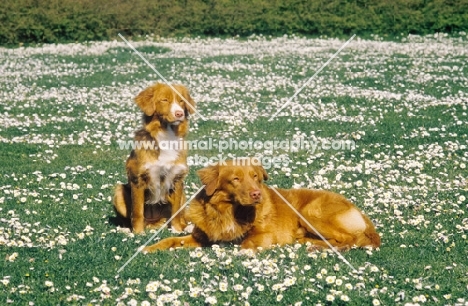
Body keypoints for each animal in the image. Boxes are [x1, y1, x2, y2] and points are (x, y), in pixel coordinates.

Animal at [113, 82, 196, 233]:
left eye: (181, 101)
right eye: (164, 100)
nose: (179, 113)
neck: (167, 136)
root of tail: (155, 222)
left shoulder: (177, 180)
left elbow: (176, 211)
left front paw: (176, 230)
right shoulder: (138, 180)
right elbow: (137, 211)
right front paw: (138, 233)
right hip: (118, 192)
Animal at [144, 159, 382, 252]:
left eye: (255, 176)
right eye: (236, 179)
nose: (256, 193)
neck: (228, 211)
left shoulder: (266, 235)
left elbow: (246, 243)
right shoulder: (200, 237)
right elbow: (171, 240)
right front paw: (149, 248)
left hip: (310, 211)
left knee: (349, 239)